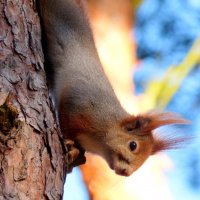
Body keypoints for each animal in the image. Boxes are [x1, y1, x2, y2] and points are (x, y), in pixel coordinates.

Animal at [38, 0, 189, 176]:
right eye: (133, 145)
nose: (126, 173)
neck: (108, 125)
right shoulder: (79, 107)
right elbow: (66, 122)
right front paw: (69, 145)